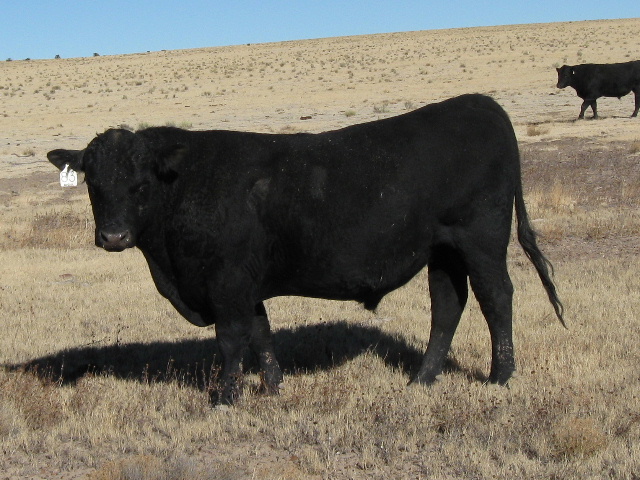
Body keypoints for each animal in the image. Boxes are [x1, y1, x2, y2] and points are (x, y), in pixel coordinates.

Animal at [48, 94, 564, 405]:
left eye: (140, 185)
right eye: (93, 183)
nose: (113, 237)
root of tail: (480, 103)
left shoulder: (227, 280)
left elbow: (231, 338)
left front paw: (226, 397)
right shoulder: (247, 284)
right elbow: (261, 333)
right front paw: (273, 388)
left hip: (481, 239)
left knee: (496, 297)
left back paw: (500, 376)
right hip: (443, 249)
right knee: (448, 305)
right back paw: (422, 378)